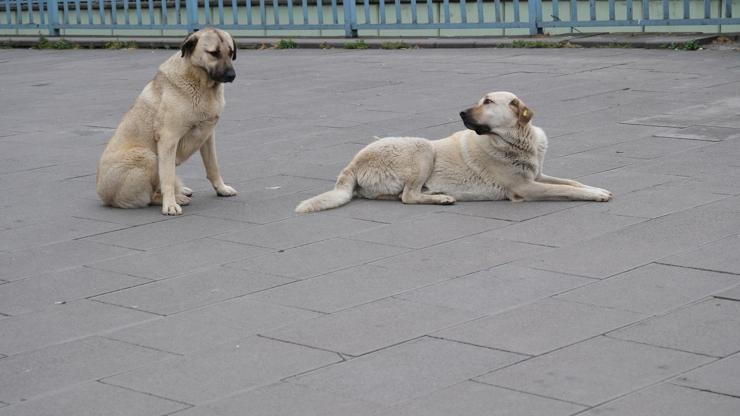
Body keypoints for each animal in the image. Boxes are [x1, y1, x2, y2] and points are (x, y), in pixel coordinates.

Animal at [97, 28, 237, 216]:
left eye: (230, 52)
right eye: (214, 53)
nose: (232, 75)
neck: (200, 83)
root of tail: (103, 196)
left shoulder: (207, 137)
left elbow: (213, 166)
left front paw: (221, 189)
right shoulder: (168, 139)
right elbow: (167, 177)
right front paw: (170, 204)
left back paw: (181, 191)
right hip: (147, 156)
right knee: (150, 195)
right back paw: (176, 197)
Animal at [294, 92, 612, 214]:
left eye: (487, 102)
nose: (460, 112)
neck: (515, 141)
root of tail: (351, 165)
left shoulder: (538, 175)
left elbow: (572, 182)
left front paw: (595, 187)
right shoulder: (526, 188)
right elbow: (569, 190)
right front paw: (595, 195)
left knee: (403, 196)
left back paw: (436, 194)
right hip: (422, 147)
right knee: (409, 197)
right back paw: (442, 198)